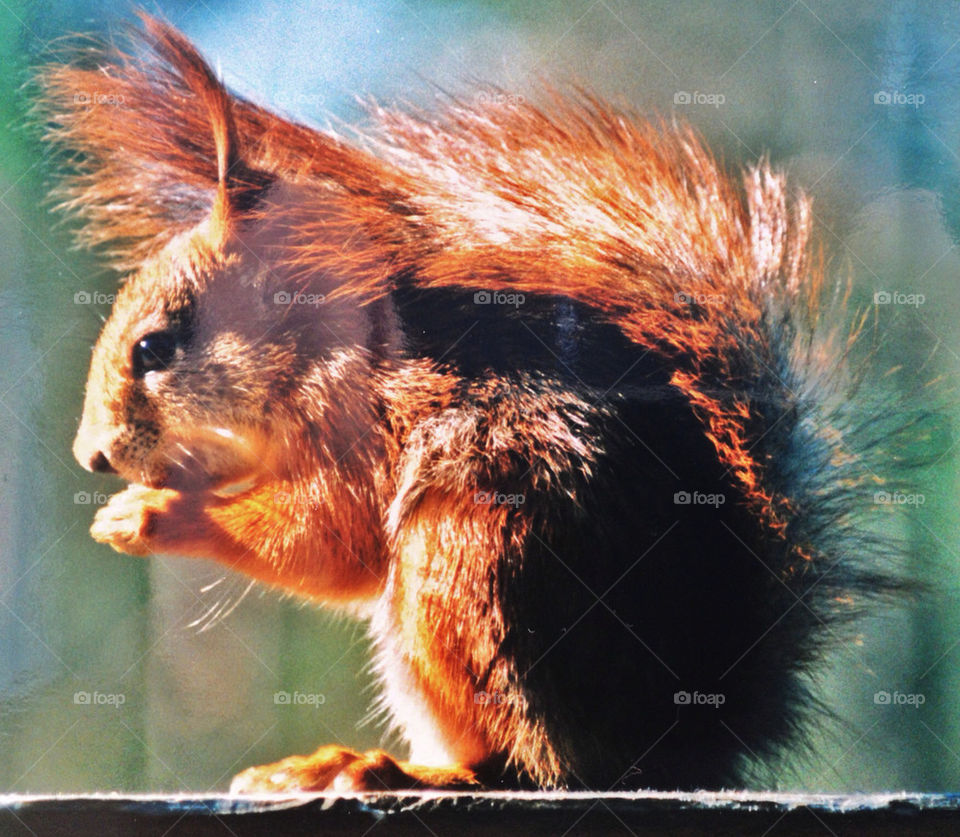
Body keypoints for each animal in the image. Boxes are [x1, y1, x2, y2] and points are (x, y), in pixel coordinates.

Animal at [40, 15, 910, 791]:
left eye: (154, 349)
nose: (92, 454)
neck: (316, 350)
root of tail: (685, 737)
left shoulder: (364, 425)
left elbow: (331, 538)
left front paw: (154, 514)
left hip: (467, 562)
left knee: (529, 766)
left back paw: (382, 768)